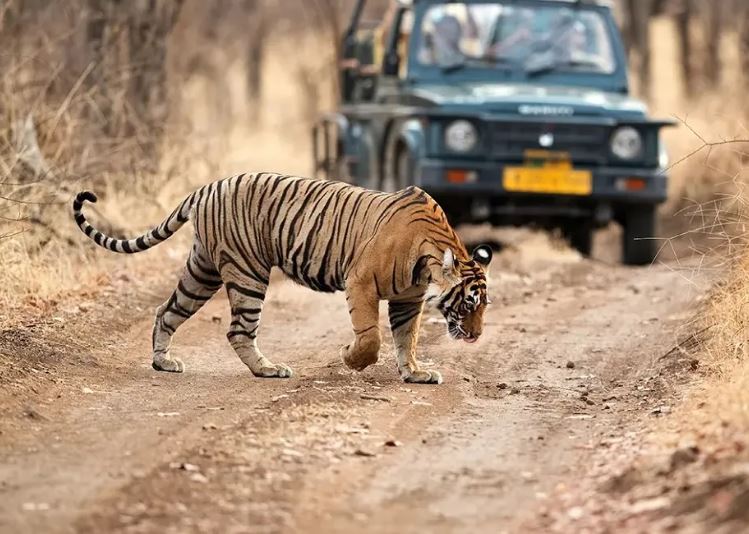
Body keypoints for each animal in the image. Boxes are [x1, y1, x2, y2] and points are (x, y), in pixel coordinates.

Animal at [70, 172, 490, 386]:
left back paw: (163, 362)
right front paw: (350, 358)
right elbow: (371, 337)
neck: (429, 257)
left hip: (203, 270)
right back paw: (268, 369)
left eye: (483, 305)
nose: (476, 335)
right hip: (247, 272)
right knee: (238, 330)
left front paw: (415, 373)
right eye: (468, 302)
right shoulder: (361, 282)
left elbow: (407, 338)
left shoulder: (408, 299)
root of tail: (206, 187)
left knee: (166, 310)